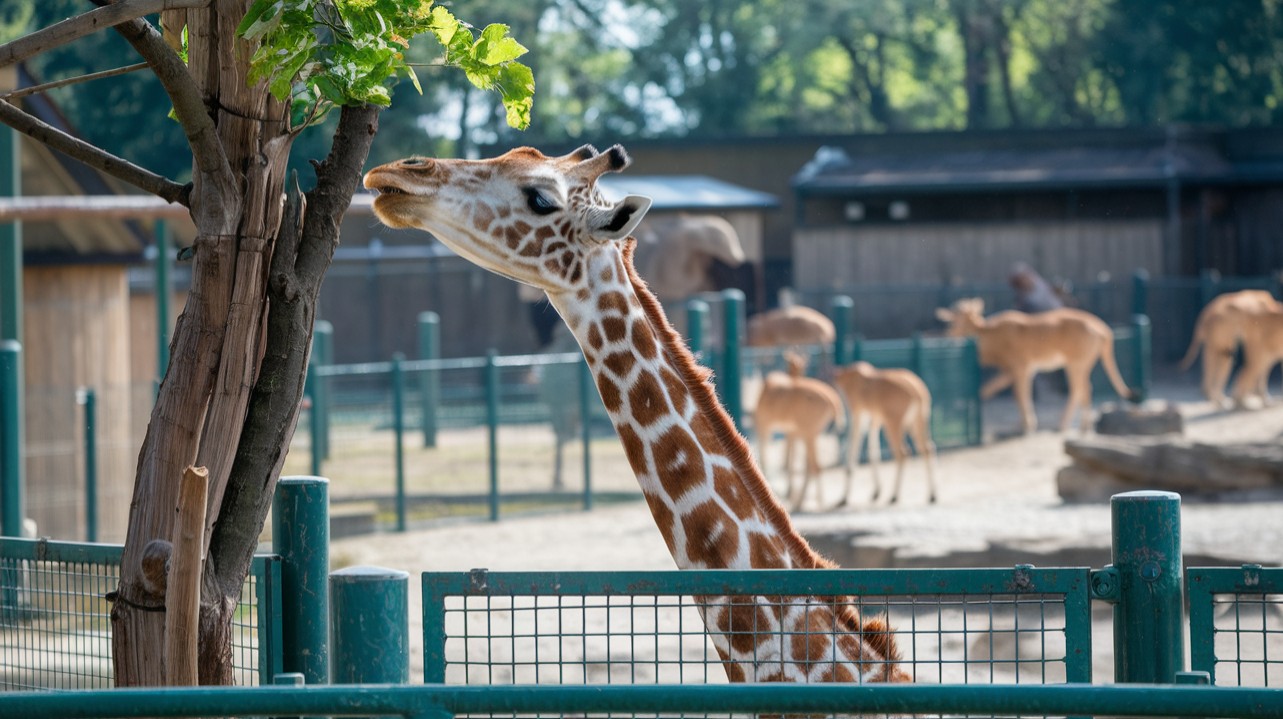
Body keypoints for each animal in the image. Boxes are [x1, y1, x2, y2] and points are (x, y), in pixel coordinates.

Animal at [749, 351, 841, 508]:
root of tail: (832, 400)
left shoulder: (765, 427)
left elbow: (766, 456)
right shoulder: (792, 433)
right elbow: (790, 461)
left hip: (809, 435)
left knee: (815, 467)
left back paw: (817, 503)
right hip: (810, 435)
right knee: (810, 466)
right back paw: (802, 501)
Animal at [831, 359, 934, 505]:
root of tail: (916, 390)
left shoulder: (859, 418)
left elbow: (852, 453)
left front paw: (844, 498)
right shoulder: (874, 422)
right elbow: (874, 452)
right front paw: (876, 492)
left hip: (893, 425)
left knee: (902, 453)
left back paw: (894, 496)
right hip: (917, 424)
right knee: (927, 449)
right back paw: (932, 495)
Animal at [934, 297, 1134, 431]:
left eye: (954, 321)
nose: (946, 334)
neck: (990, 334)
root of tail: (1102, 328)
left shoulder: (1021, 368)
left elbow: (1020, 394)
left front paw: (1027, 425)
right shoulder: (1015, 370)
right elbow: (1003, 390)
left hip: (1075, 363)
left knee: (1078, 389)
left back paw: (1062, 424)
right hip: (1082, 364)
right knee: (1086, 388)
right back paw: (1084, 426)